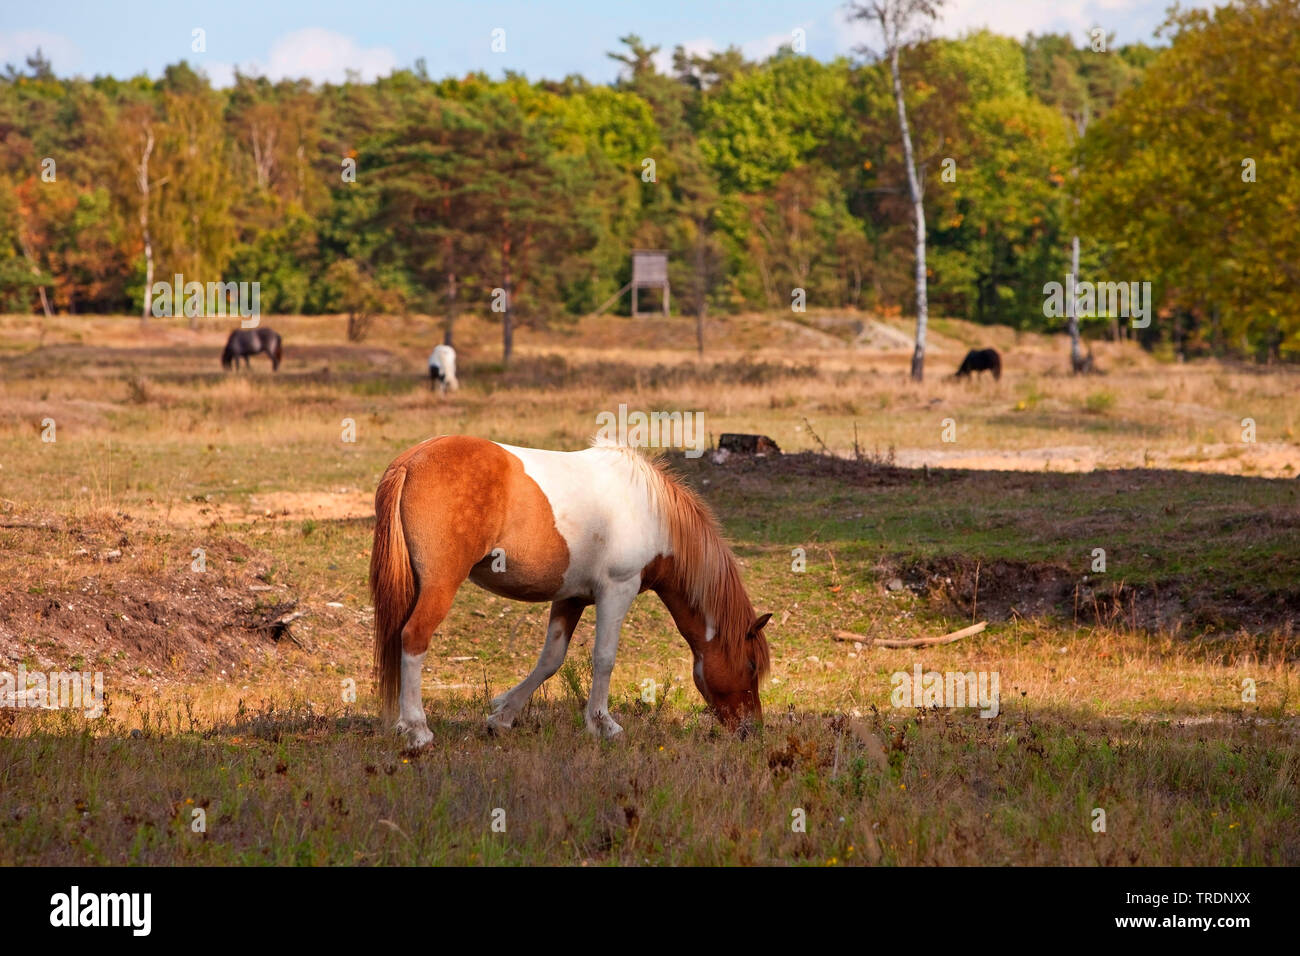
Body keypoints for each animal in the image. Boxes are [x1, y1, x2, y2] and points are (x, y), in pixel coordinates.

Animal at [370, 435, 771, 746]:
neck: (652, 513)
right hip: (440, 586)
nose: (751, 729)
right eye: (751, 665)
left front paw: (502, 716)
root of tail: (410, 462)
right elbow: (604, 658)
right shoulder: (617, 591)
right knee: (414, 638)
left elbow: (550, 659)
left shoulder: (571, 597)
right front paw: (603, 724)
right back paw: (419, 730)